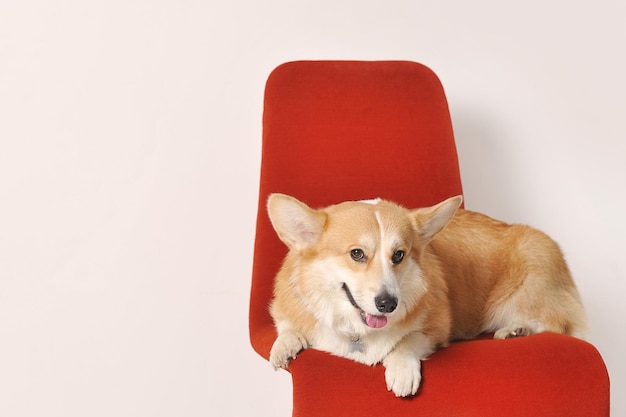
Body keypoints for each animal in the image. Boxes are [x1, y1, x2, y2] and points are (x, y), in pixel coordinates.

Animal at [266, 193, 584, 394]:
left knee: (558, 324)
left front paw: (401, 371)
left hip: (522, 295)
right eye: (356, 253)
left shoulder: (437, 328)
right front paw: (283, 348)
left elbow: (408, 340)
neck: (358, 331)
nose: (388, 304)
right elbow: (287, 327)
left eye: (399, 255)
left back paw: (515, 330)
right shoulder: (289, 311)